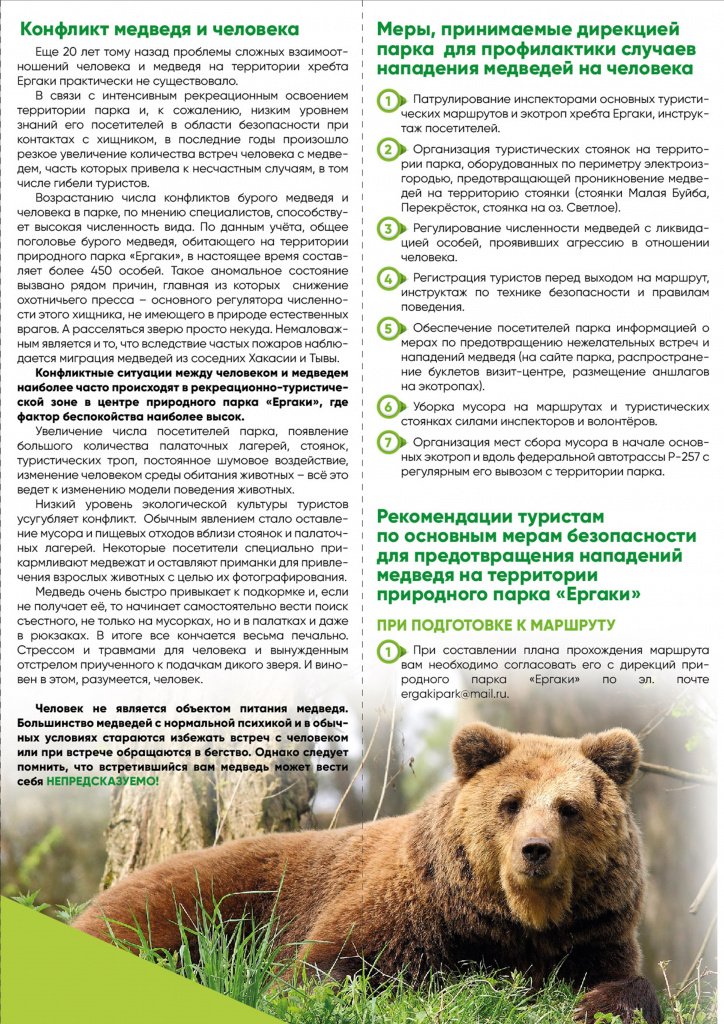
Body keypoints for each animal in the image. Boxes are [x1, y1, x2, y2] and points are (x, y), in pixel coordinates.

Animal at [74, 722, 662, 1024]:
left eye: (568, 808)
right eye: (510, 804)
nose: (534, 851)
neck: (514, 921)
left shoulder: (593, 930)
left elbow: (623, 980)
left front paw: (596, 1007)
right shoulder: (411, 911)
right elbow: (325, 972)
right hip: (194, 906)